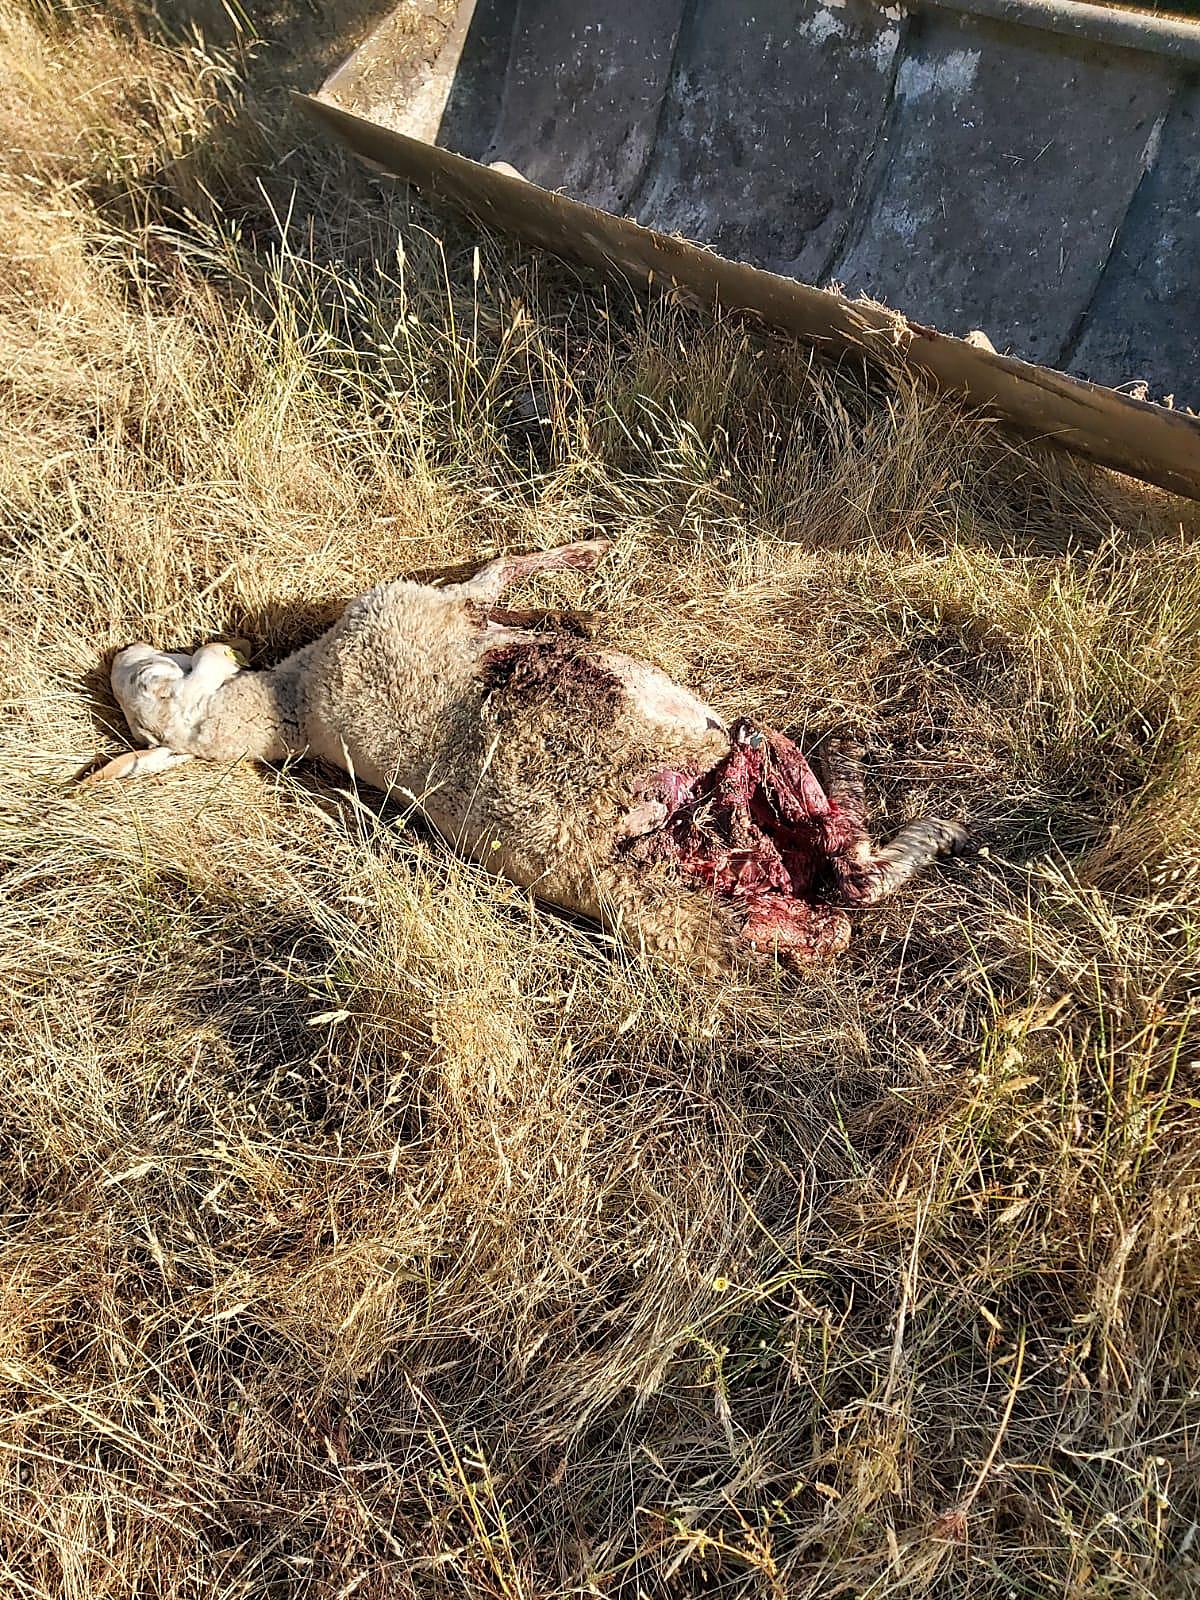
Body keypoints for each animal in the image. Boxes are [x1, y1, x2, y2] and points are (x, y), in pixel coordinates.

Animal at [85, 538, 968, 971]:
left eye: (149, 676)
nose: (118, 652)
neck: (291, 708)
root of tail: (753, 870)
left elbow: (501, 585)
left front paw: (574, 587)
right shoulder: (425, 605)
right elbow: (497, 573)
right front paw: (586, 556)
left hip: (746, 885)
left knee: (845, 883)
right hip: (732, 866)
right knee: (848, 887)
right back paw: (897, 799)